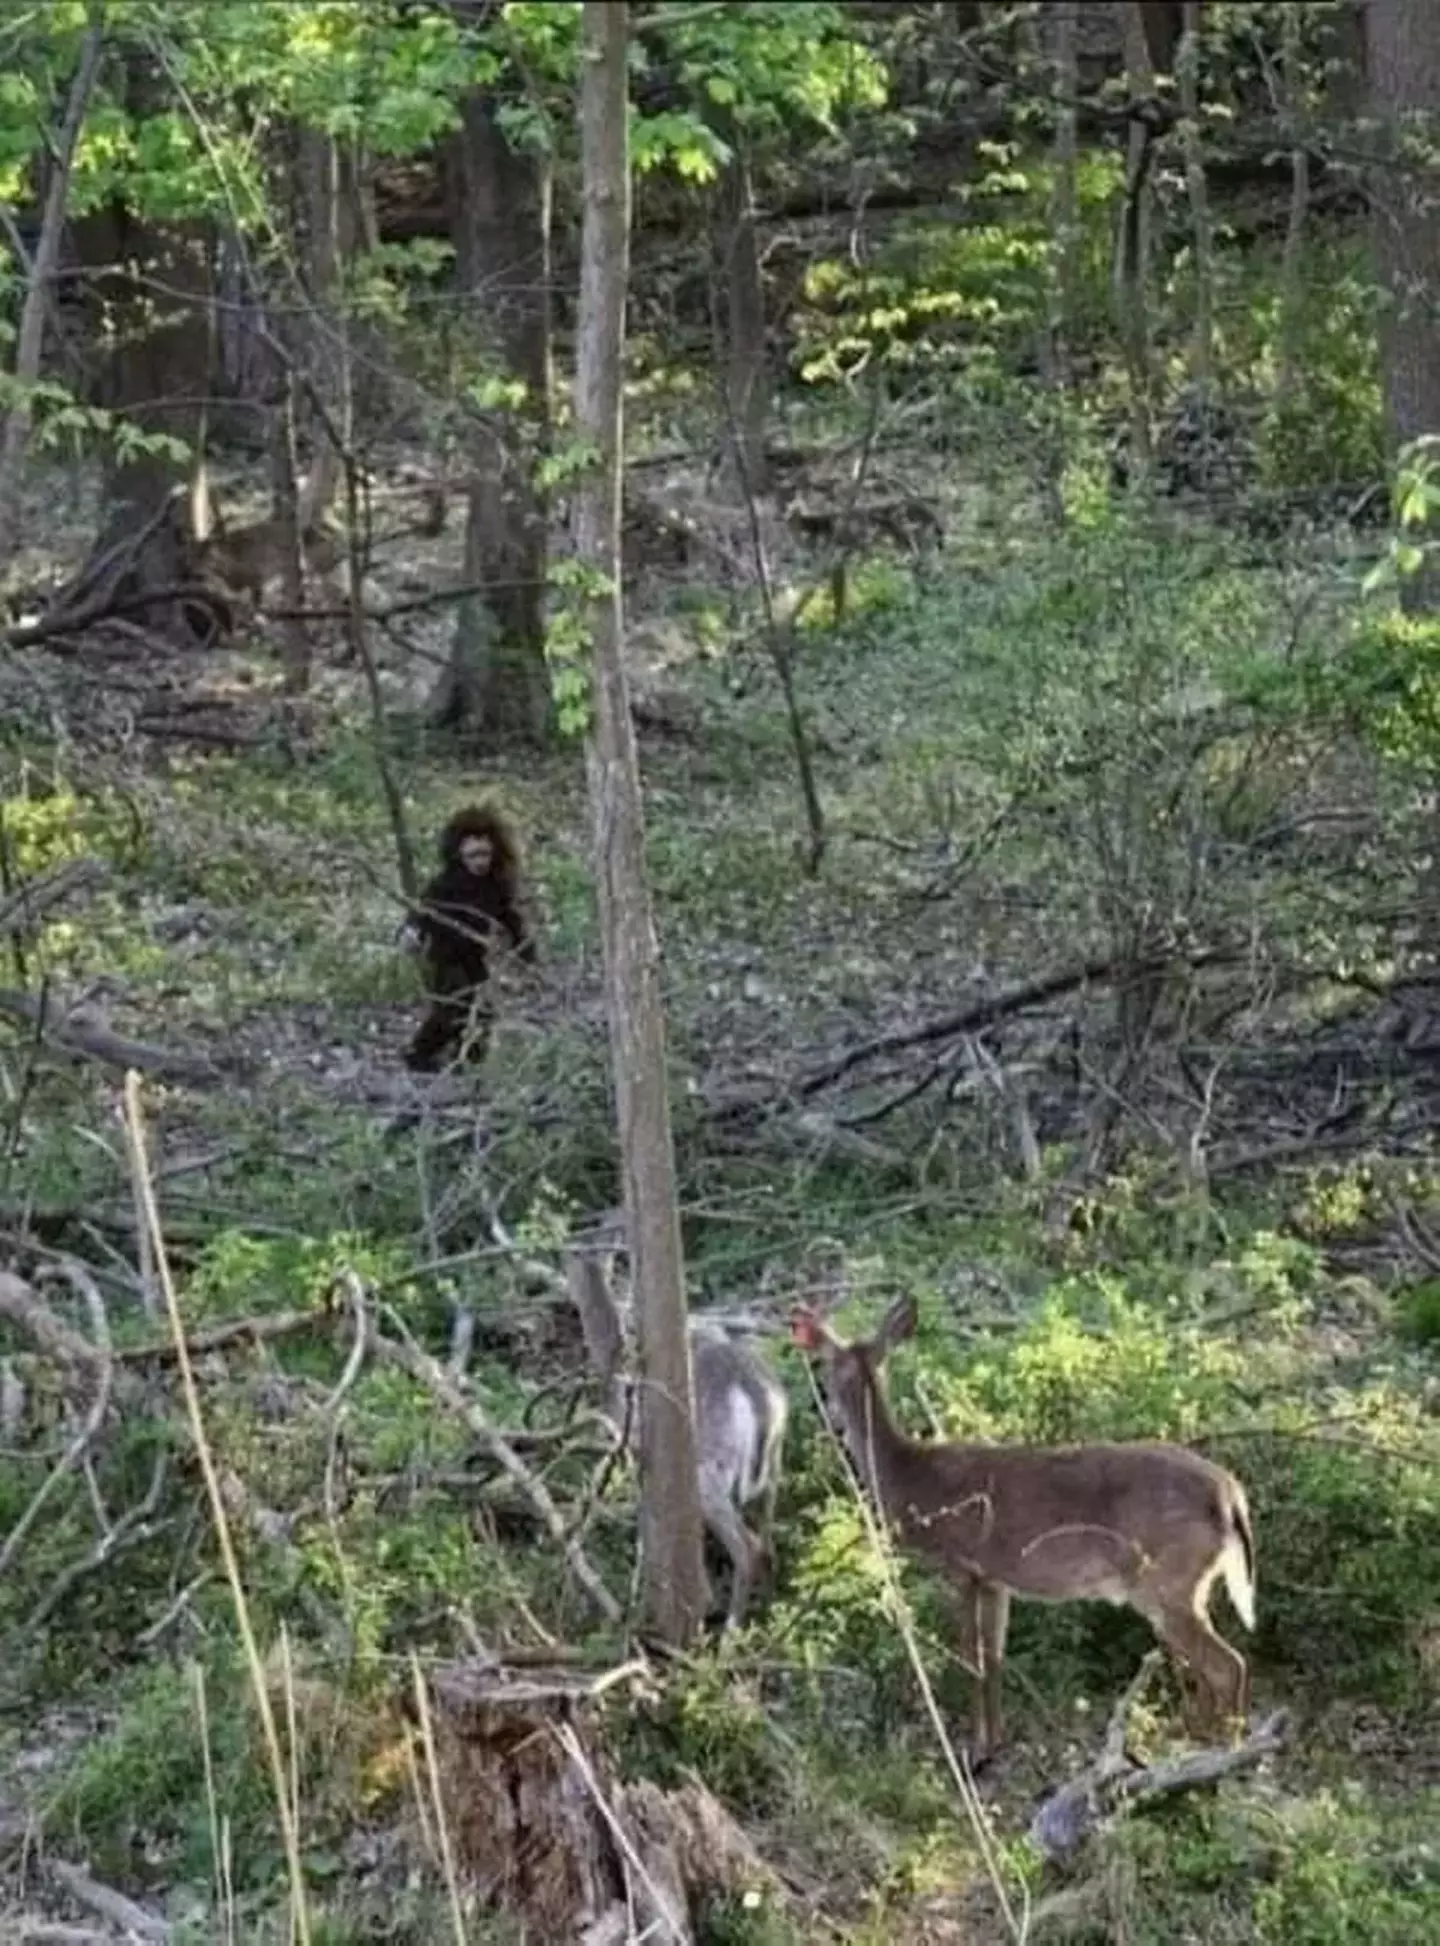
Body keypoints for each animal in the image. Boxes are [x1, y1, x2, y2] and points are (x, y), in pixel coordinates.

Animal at [564, 1245, 786, 1626]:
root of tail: (762, 1398)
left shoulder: (637, 1449)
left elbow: (649, 1519)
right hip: (772, 1468)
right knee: (767, 1538)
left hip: (710, 1468)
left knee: (747, 1547)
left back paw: (730, 1628)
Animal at [793, 1292, 1253, 1766]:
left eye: (822, 1365)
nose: (819, 1408)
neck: (909, 1478)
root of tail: (1230, 1494)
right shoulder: (996, 1579)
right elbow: (995, 1657)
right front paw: (995, 1742)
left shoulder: (962, 1564)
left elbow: (970, 1656)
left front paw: (976, 1748)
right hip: (1187, 1584)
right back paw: (1196, 1738)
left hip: (1166, 1581)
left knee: (1228, 1663)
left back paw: (1226, 1747)